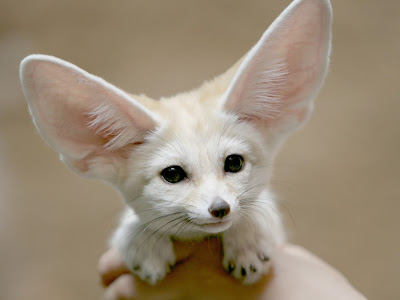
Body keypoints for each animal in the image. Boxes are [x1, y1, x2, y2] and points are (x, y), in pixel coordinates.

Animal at [19, 0, 332, 286]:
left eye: (234, 163)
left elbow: (258, 207)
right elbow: (134, 223)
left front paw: (247, 239)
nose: (220, 208)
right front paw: (143, 240)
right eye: (172, 174)